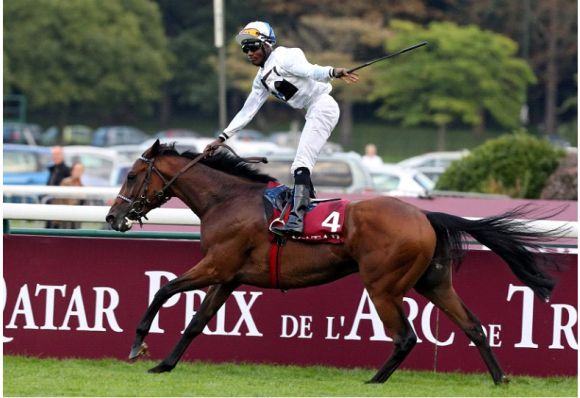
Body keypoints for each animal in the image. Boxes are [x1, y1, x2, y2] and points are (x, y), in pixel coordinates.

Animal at [106, 141, 560, 386]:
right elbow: (197, 322)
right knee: (474, 326)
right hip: (433, 282)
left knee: (406, 337)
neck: (227, 200)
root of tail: (425, 215)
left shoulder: (216, 266)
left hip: (382, 286)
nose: (112, 217)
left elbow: (164, 290)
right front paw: (164, 364)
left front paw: (137, 344)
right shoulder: (229, 276)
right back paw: (500, 378)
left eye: (131, 175)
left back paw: (375, 380)